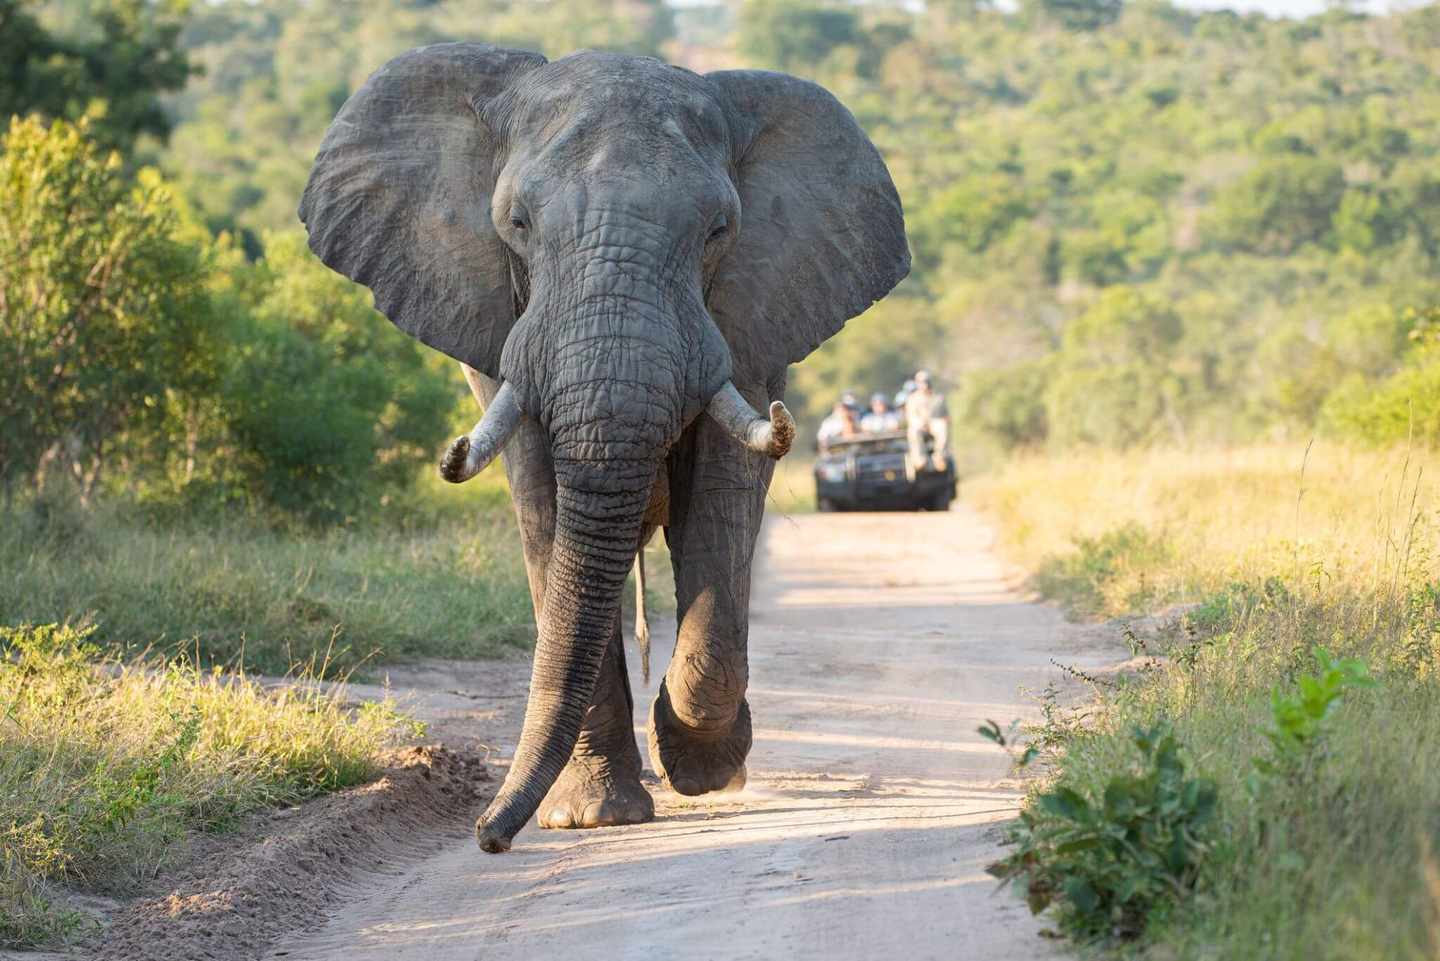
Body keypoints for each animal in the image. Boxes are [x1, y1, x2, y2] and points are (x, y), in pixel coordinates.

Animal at [299, 43, 909, 854]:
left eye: (719, 230)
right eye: (516, 223)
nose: (488, 835)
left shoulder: (749, 321)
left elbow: (720, 504)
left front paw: (698, 765)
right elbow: (545, 512)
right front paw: (590, 815)